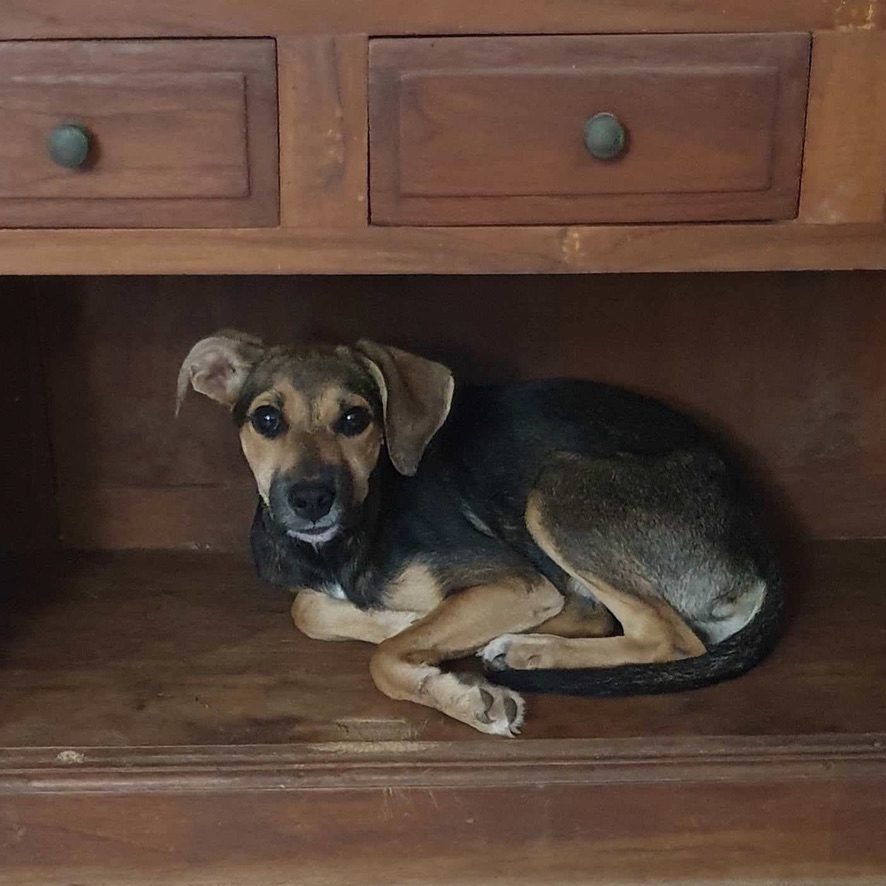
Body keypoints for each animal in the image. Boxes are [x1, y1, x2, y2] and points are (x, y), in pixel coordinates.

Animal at [175, 332, 784, 736]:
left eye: (354, 420)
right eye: (266, 420)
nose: (309, 500)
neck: (350, 534)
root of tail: (759, 537)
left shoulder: (515, 580)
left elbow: (382, 658)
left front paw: (467, 698)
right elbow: (310, 609)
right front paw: (407, 625)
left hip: (558, 490)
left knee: (668, 636)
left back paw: (529, 649)